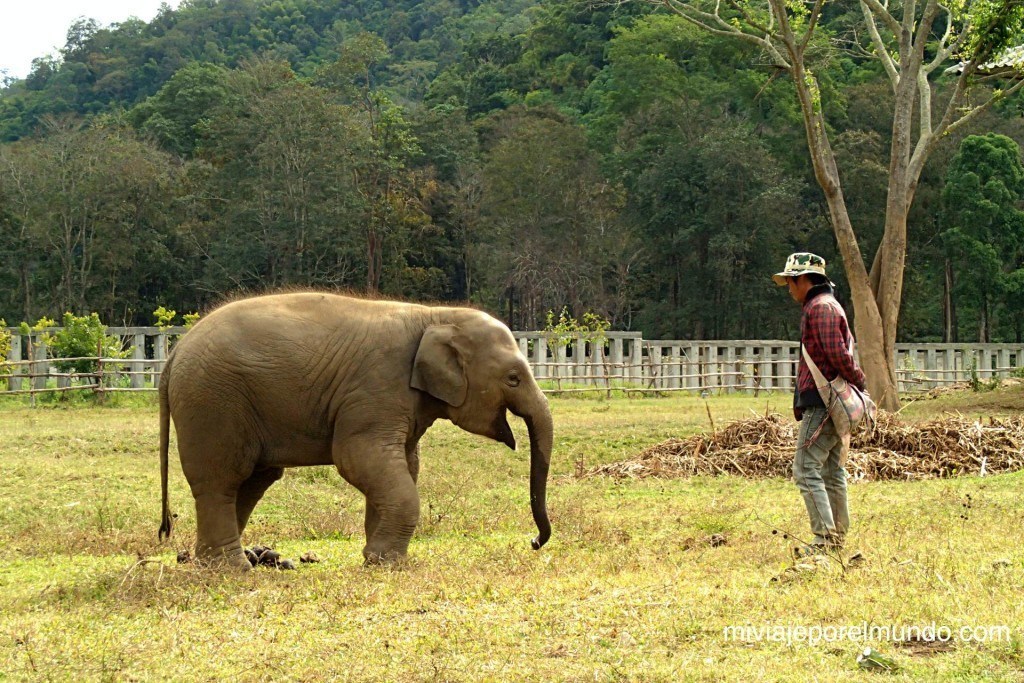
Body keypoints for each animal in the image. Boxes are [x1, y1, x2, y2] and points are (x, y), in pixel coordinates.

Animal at [156, 292, 552, 565]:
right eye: (513, 378)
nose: (534, 542)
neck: (434, 314)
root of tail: (174, 354)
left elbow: (405, 464)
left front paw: (377, 559)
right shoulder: (376, 390)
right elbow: (357, 459)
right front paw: (386, 562)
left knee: (252, 481)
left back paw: (228, 562)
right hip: (212, 403)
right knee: (222, 480)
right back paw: (234, 569)